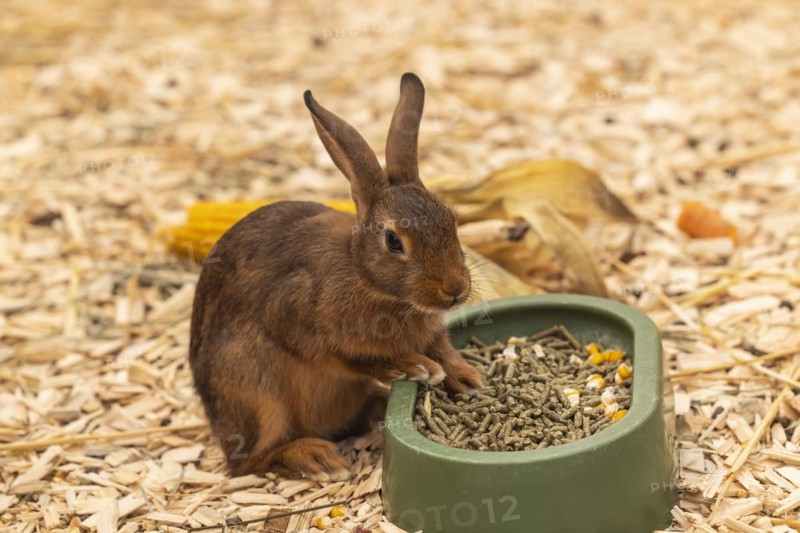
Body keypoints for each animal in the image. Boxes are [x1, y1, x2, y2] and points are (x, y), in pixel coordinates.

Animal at [189, 73, 483, 480]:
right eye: (393, 241)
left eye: (451, 221)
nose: (455, 289)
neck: (366, 278)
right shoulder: (298, 324)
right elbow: (352, 359)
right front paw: (414, 367)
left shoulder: (431, 332)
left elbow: (442, 347)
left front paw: (468, 379)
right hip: (256, 398)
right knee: (246, 461)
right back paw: (315, 457)